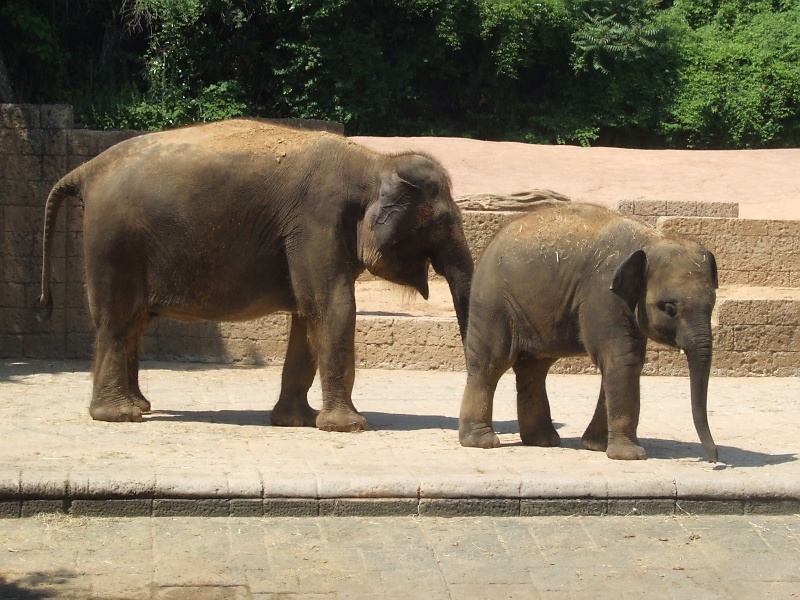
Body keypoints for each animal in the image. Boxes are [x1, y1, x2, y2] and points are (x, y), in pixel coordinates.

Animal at [37, 119, 472, 432]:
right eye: (443, 225)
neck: (376, 160)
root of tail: (87, 170)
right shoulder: (315, 222)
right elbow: (332, 307)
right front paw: (349, 427)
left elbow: (308, 316)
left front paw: (296, 422)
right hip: (115, 244)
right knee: (118, 321)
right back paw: (120, 416)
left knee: (134, 324)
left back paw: (140, 407)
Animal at [462, 202, 720, 460]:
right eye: (669, 308)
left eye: (712, 305)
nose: (713, 459)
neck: (651, 240)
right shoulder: (602, 294)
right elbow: (622, 359)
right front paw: (630, 456)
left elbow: (624, 361)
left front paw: (597, 446)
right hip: (494, 303)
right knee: (492, 362)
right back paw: (482, 442)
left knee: (534, 367)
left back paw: (543, 441)